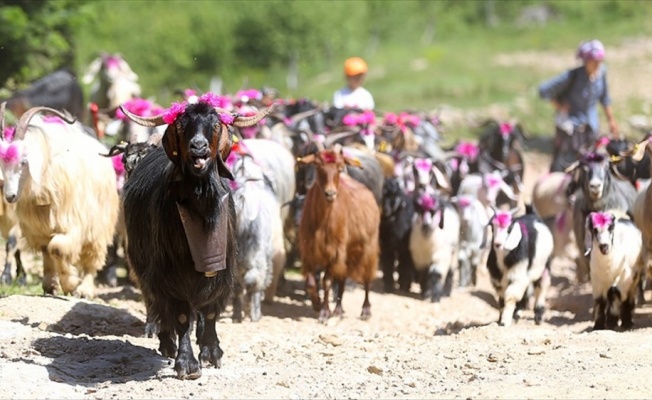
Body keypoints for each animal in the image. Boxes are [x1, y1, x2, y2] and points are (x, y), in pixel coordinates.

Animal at [0, 104, 119, 298]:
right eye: (2, 164)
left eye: (24, 162)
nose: (9, 196)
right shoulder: (39, 227)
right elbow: (46, 250)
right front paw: (50, 286)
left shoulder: (72, 223)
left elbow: (57, 249)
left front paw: (70, 285)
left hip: (99, 224)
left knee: (92, 257)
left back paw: (85, 290)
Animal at [298, 146, 380, 322]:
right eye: (318, 167)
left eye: (340, 168)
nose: (330, 194)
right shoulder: (309, 249)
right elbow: (311, 282)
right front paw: (317, 303)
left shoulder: (334, 250)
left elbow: (327, 281)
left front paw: (324, 312)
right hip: (347, 251)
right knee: (342, 278)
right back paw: (338, 310)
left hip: (368, 247)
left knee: (367, 278)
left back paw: (366, 310)